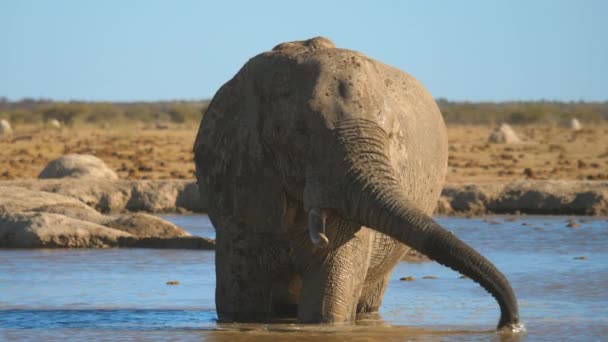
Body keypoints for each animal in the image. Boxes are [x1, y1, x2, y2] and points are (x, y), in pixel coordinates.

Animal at [196, 36, 524, 332]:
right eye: (301, 132)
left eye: (391, 133)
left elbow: (325, 310)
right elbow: (240, 305)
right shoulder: (239, 183)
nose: (509, 324)